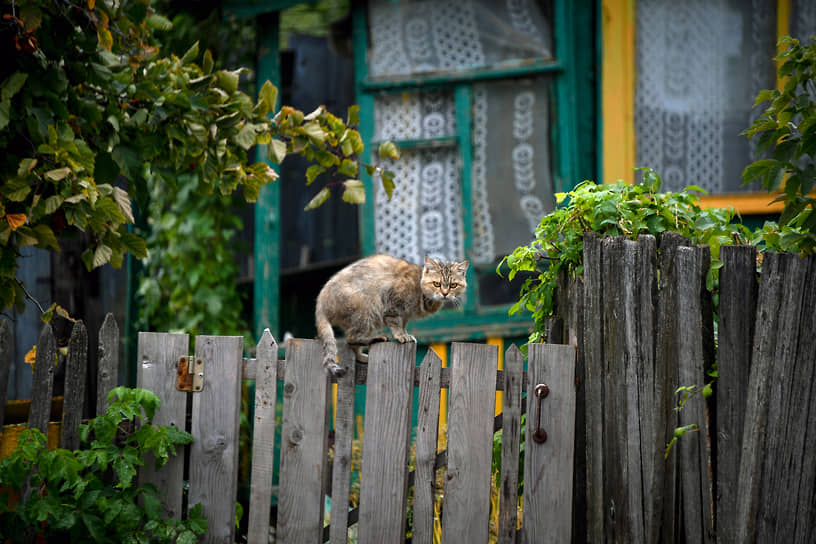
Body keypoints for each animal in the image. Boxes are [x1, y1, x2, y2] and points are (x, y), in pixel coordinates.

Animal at [316, 256, 468, 378]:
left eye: (453, 285)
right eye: (436, 284)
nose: (445, 293)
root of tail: (321, 302)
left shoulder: (405, 315)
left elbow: (403, 325)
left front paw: (405, 334)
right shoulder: (392, 304)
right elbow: (395, 324)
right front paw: (400, 336)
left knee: (352, 344)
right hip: (366, 309)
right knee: (351, 338)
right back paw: (376, 338)